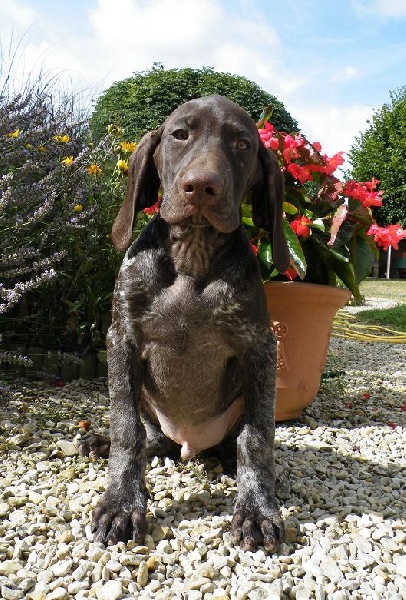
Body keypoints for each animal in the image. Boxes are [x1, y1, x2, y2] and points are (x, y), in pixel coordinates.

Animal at [82, 95, 290, 552]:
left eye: (243, 144)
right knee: (152, 437)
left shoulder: (260, 348)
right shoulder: (121, 340)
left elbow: (257, 438)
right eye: (180, 134)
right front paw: (121, 503)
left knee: (236, 441)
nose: (202, 187)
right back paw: (101, 442)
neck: (193, 253)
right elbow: (128, 431)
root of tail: (190, 445)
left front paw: (256, 508)